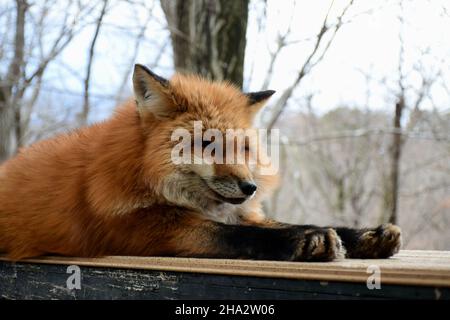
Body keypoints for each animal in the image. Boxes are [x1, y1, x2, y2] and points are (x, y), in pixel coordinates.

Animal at [0, 64, 400, 260]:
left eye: (243, 148)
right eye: (207, 144)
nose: (250, 187)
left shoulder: (237, 212)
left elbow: (281, 223)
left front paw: (364, 235)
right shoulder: (150, 231)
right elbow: (241, 236)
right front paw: (307, 240)